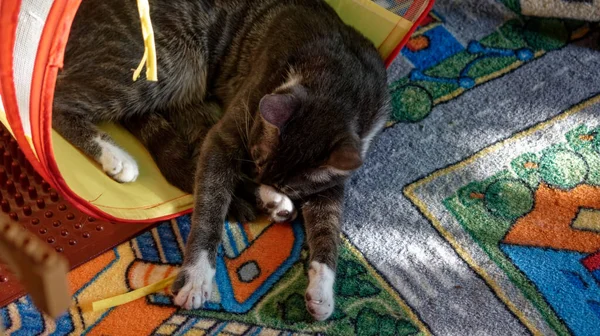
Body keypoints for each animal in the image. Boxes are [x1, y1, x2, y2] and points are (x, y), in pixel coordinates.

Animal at [54, 0, 392, 320]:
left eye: (292, 186)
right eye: (257, 159)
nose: (263, 181)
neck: (340, 84)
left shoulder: (333, 181)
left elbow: (327, 228)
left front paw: (321, 290)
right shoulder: (227, 133)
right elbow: (210, 208)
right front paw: (197, 276)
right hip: (169, 64)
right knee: (61, 99)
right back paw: (116, 156)